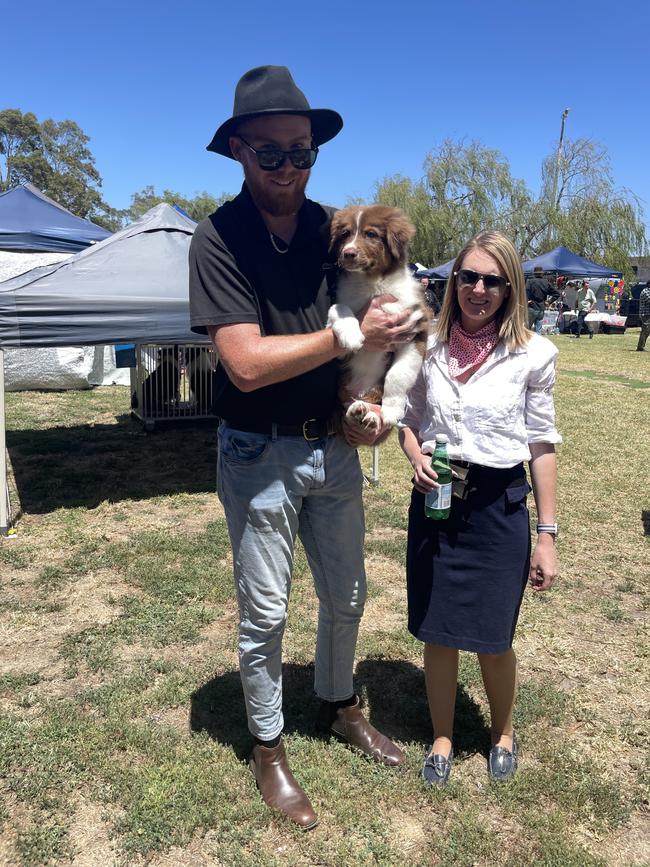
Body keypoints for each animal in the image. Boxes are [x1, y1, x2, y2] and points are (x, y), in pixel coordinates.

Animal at [326, 204, 428, 434]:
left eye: (371, 234)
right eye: (345, 234)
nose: (348, 253)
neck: (373, 284)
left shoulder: (415, 332)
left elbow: (397, 376)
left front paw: (391, 411)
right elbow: (338, 307)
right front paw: (352, 335)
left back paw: (372, 415)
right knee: (347, 406)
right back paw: (357, 411)